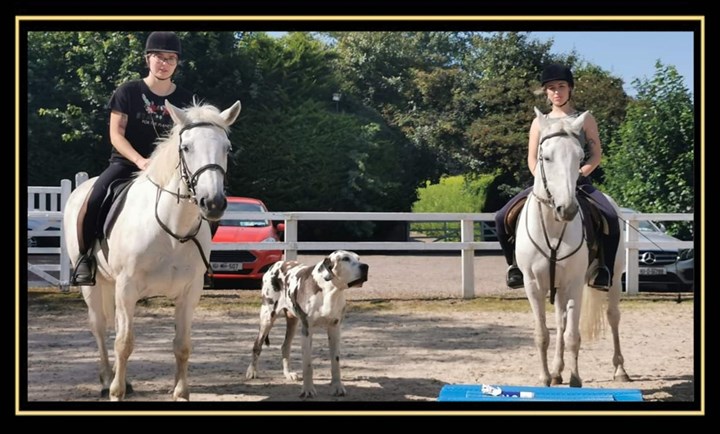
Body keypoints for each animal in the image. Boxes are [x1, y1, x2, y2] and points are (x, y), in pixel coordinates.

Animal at [63, 100, 242, 402]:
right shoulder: (127, 288)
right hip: (92, 284)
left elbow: (182, 344)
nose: (213, 203)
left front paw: (180, 392)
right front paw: (117, 392)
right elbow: (124, 342)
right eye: (186, 147)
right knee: (99, 327)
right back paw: (107, 379)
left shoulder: (189, 291)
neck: (172, 230)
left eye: (227, 148)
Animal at [516, 107, 628, 388]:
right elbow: (543, 334)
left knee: (612, 316)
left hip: (613, 277)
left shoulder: (575, 283)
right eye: (546, 157)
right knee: (560, 320)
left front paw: (575, 378)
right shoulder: (533, 284)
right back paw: (557, 372)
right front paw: (545, 378)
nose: (566, 209)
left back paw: (620, 369)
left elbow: (572, 336)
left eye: (579, 157)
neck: (554, 227)